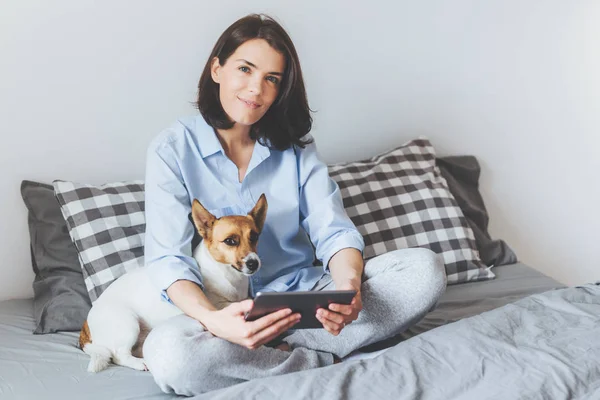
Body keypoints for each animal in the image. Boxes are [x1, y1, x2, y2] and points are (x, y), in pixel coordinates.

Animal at [78, 194, 268, 372]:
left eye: (255, 237)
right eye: (230, 241)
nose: (254, 263)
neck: (227, 274)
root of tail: (87, 323)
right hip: (128, 324)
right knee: (118, 355)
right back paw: (139, 363)